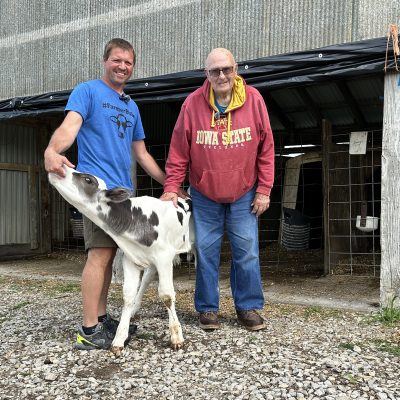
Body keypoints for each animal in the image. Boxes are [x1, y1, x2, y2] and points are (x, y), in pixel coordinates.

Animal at [48, 166, 195, 356]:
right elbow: (128, 295)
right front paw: (119, 339)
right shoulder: (130, 258)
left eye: (88, 180)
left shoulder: (164, 257)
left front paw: (176, 337)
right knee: (147, 278)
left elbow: (167, 295)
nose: (60, 167)